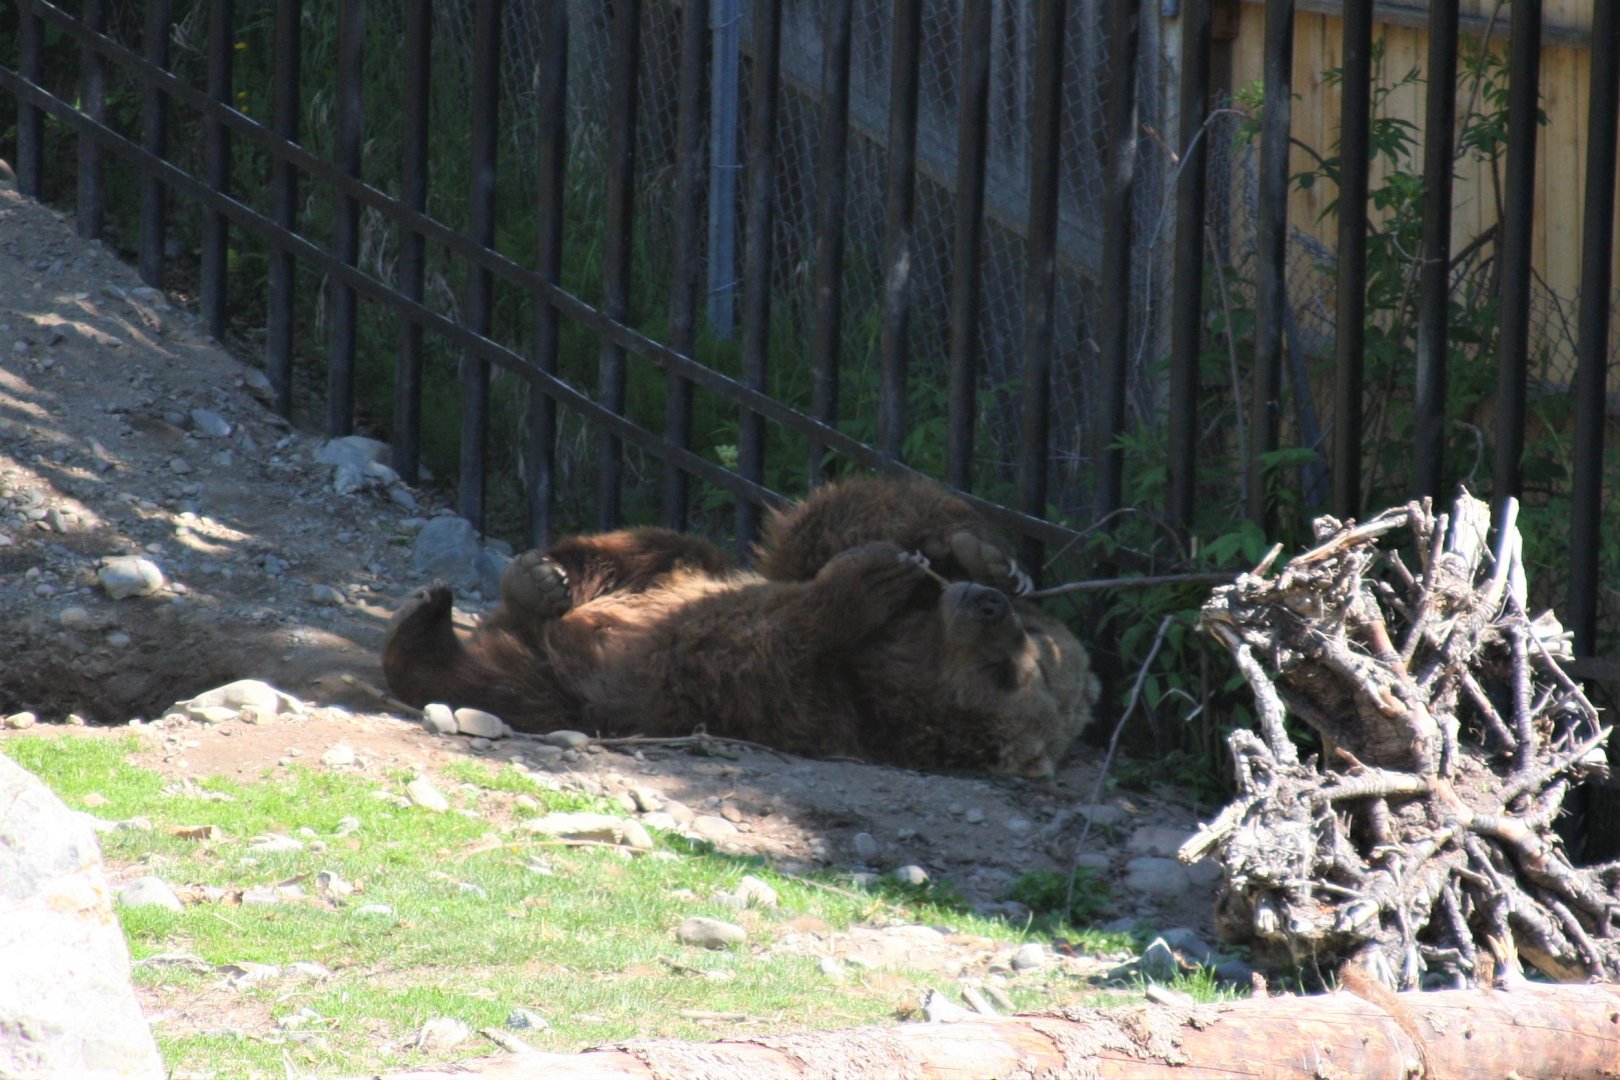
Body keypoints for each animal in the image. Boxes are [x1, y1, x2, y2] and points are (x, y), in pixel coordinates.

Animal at [381, 475, 1098, 776]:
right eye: (1033, 650)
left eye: (1006, 675)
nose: (992, 607)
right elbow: (838, 519)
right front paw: (978, 553)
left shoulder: (810, 703)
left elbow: (751, 639)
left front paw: (868, 580)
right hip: (677, 566)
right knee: (644, 547)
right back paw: (536, 579)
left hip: (572, 690)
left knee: (490, 682)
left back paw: (425, 625)